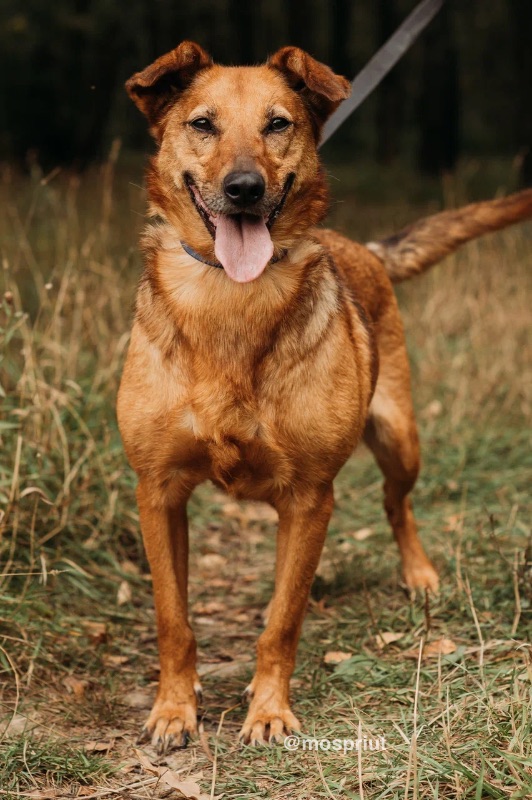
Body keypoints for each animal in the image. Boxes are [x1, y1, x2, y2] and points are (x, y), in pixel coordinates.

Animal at [118, 42, 532, 752]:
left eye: (278, 123)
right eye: (202, 124)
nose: (245, 189)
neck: (232, 300)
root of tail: (361, 247)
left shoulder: (310, 497)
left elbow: (280, 622)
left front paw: (269, 710)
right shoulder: (159, 491)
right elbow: (174, 619)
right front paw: (174, 708)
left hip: (399, 438)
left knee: (397, 505)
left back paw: (418, 573)